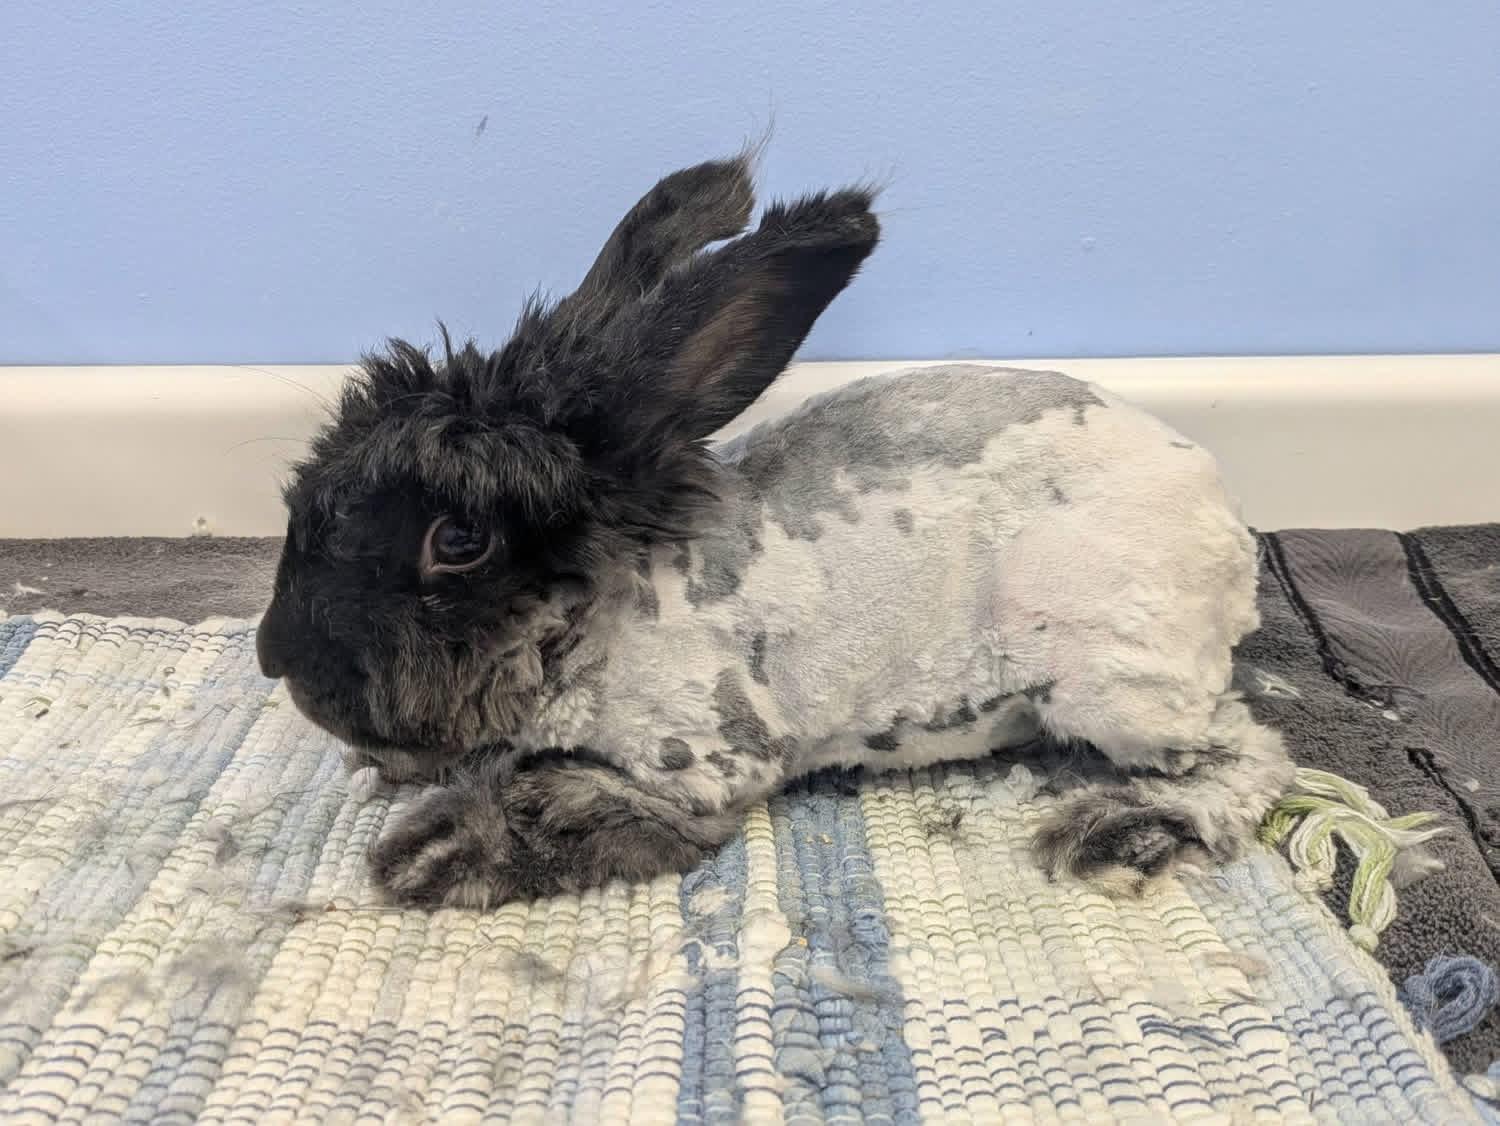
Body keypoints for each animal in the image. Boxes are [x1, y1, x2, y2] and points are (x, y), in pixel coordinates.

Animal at [256, 151, 1294, 908]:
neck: (605, 613)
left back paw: (1115, 832)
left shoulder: (706, 766)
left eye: (459, 541)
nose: (275, 656)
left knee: (1246, 756)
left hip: (1110, 678)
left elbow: (559, 808)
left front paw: (427, 855)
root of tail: (1217, 509)